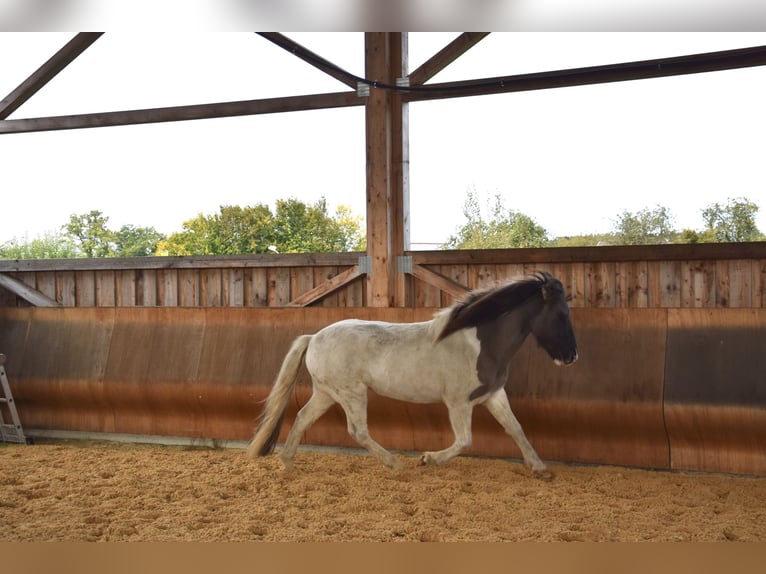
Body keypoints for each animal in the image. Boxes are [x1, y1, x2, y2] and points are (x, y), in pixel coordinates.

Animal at [249, 272, 580, 480]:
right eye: (561, 314)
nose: (571, 357)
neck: (480, 341)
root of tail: (314, 337)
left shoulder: (494, 395)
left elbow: (516, 429)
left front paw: (540, 468)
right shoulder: (458, 403)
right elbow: (465, 441)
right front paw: (427, 458)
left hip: (327, 393)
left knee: (303, 417)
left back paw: (287, 462)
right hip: (351, 393)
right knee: (357, 431)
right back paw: (395, 464)